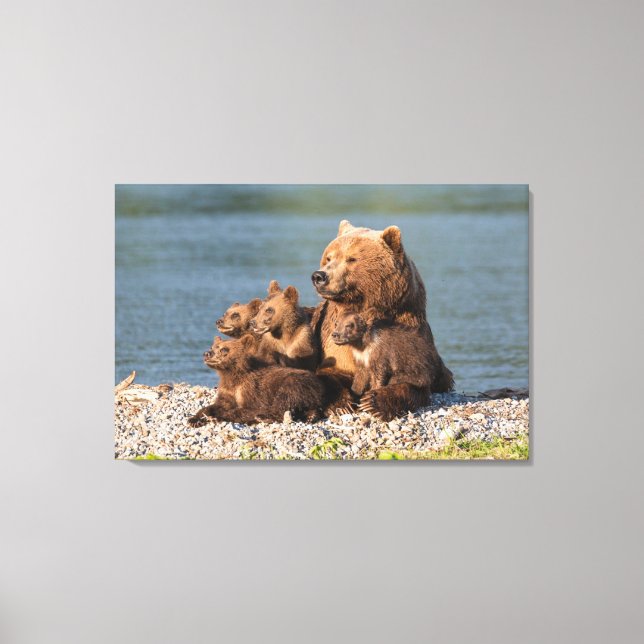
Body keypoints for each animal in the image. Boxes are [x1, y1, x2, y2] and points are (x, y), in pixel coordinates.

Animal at [187, 335, 326, 426]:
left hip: (295, 383)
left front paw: (216, 417)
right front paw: (194, 419)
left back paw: (263, 417)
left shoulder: (251, 390)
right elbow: (218, 404)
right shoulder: (228, 390)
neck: (231, 373)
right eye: (212, 346)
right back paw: (310, 416)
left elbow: (249, 408)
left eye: (224, 349)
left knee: (284, 401)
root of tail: (318, 383)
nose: (207, 353)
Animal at [310, 219, 454, 419]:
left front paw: (373, 402)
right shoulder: (332, 338)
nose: (319, 276)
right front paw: (342, 404)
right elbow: (333, 370)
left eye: (351, 259)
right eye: (329, 258)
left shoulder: (407, 330)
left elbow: (412, 383)